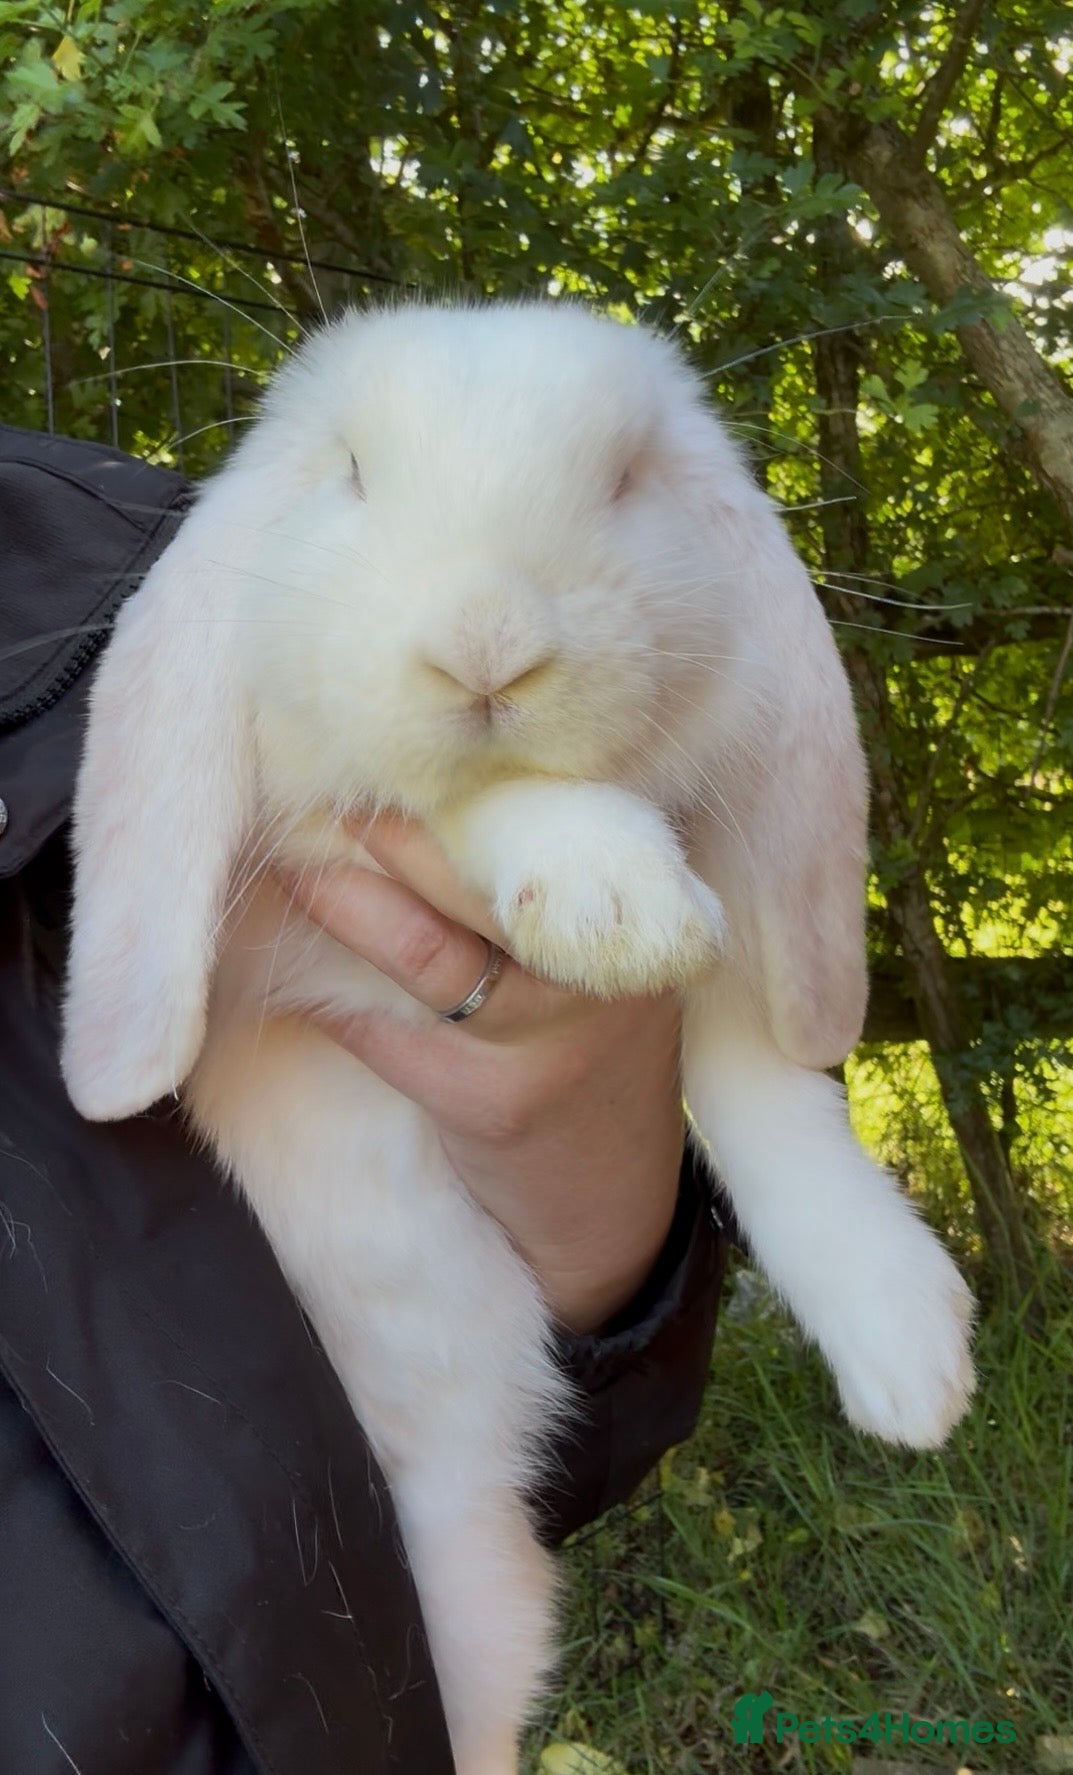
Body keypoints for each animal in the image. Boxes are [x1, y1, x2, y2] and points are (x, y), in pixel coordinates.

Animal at [62, 299, 975, 1775]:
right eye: (352, 473)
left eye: (626, 480)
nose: (483, 643)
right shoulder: (314, 853)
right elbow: (465, 803)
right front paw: (615, 897)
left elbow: (754, 1070)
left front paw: (911, 1355)